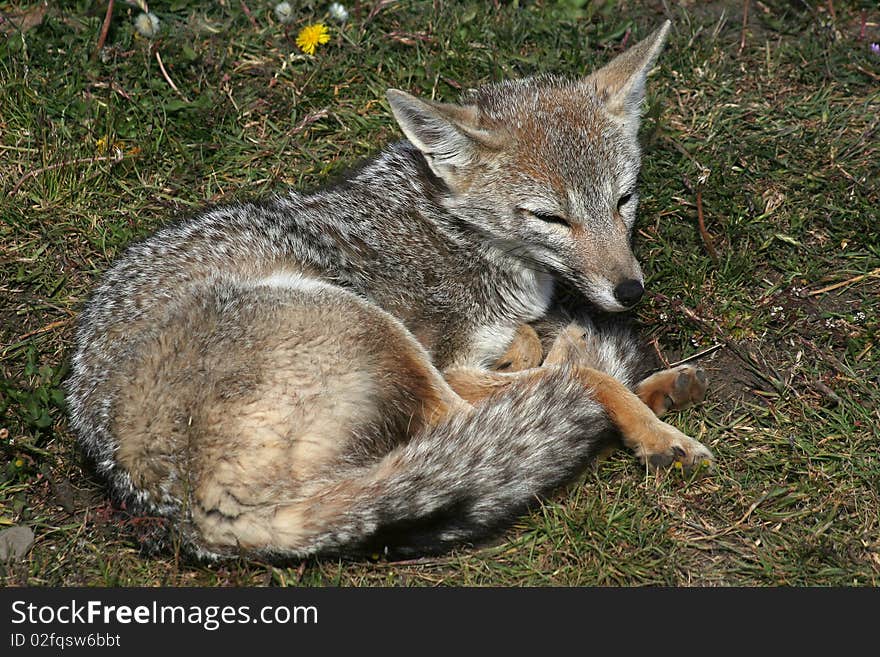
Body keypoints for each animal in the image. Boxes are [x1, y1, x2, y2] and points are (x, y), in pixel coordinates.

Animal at [67, 21, 716, 560]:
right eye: (550, 217)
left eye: (624, 199)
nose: (630, 291)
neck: (456, 230)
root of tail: (191, 513)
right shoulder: (446, 358)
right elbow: (557, 369)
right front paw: (644, 423)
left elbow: (528, 344)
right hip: (367, 322)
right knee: (514, 405)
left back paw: (656, 386)